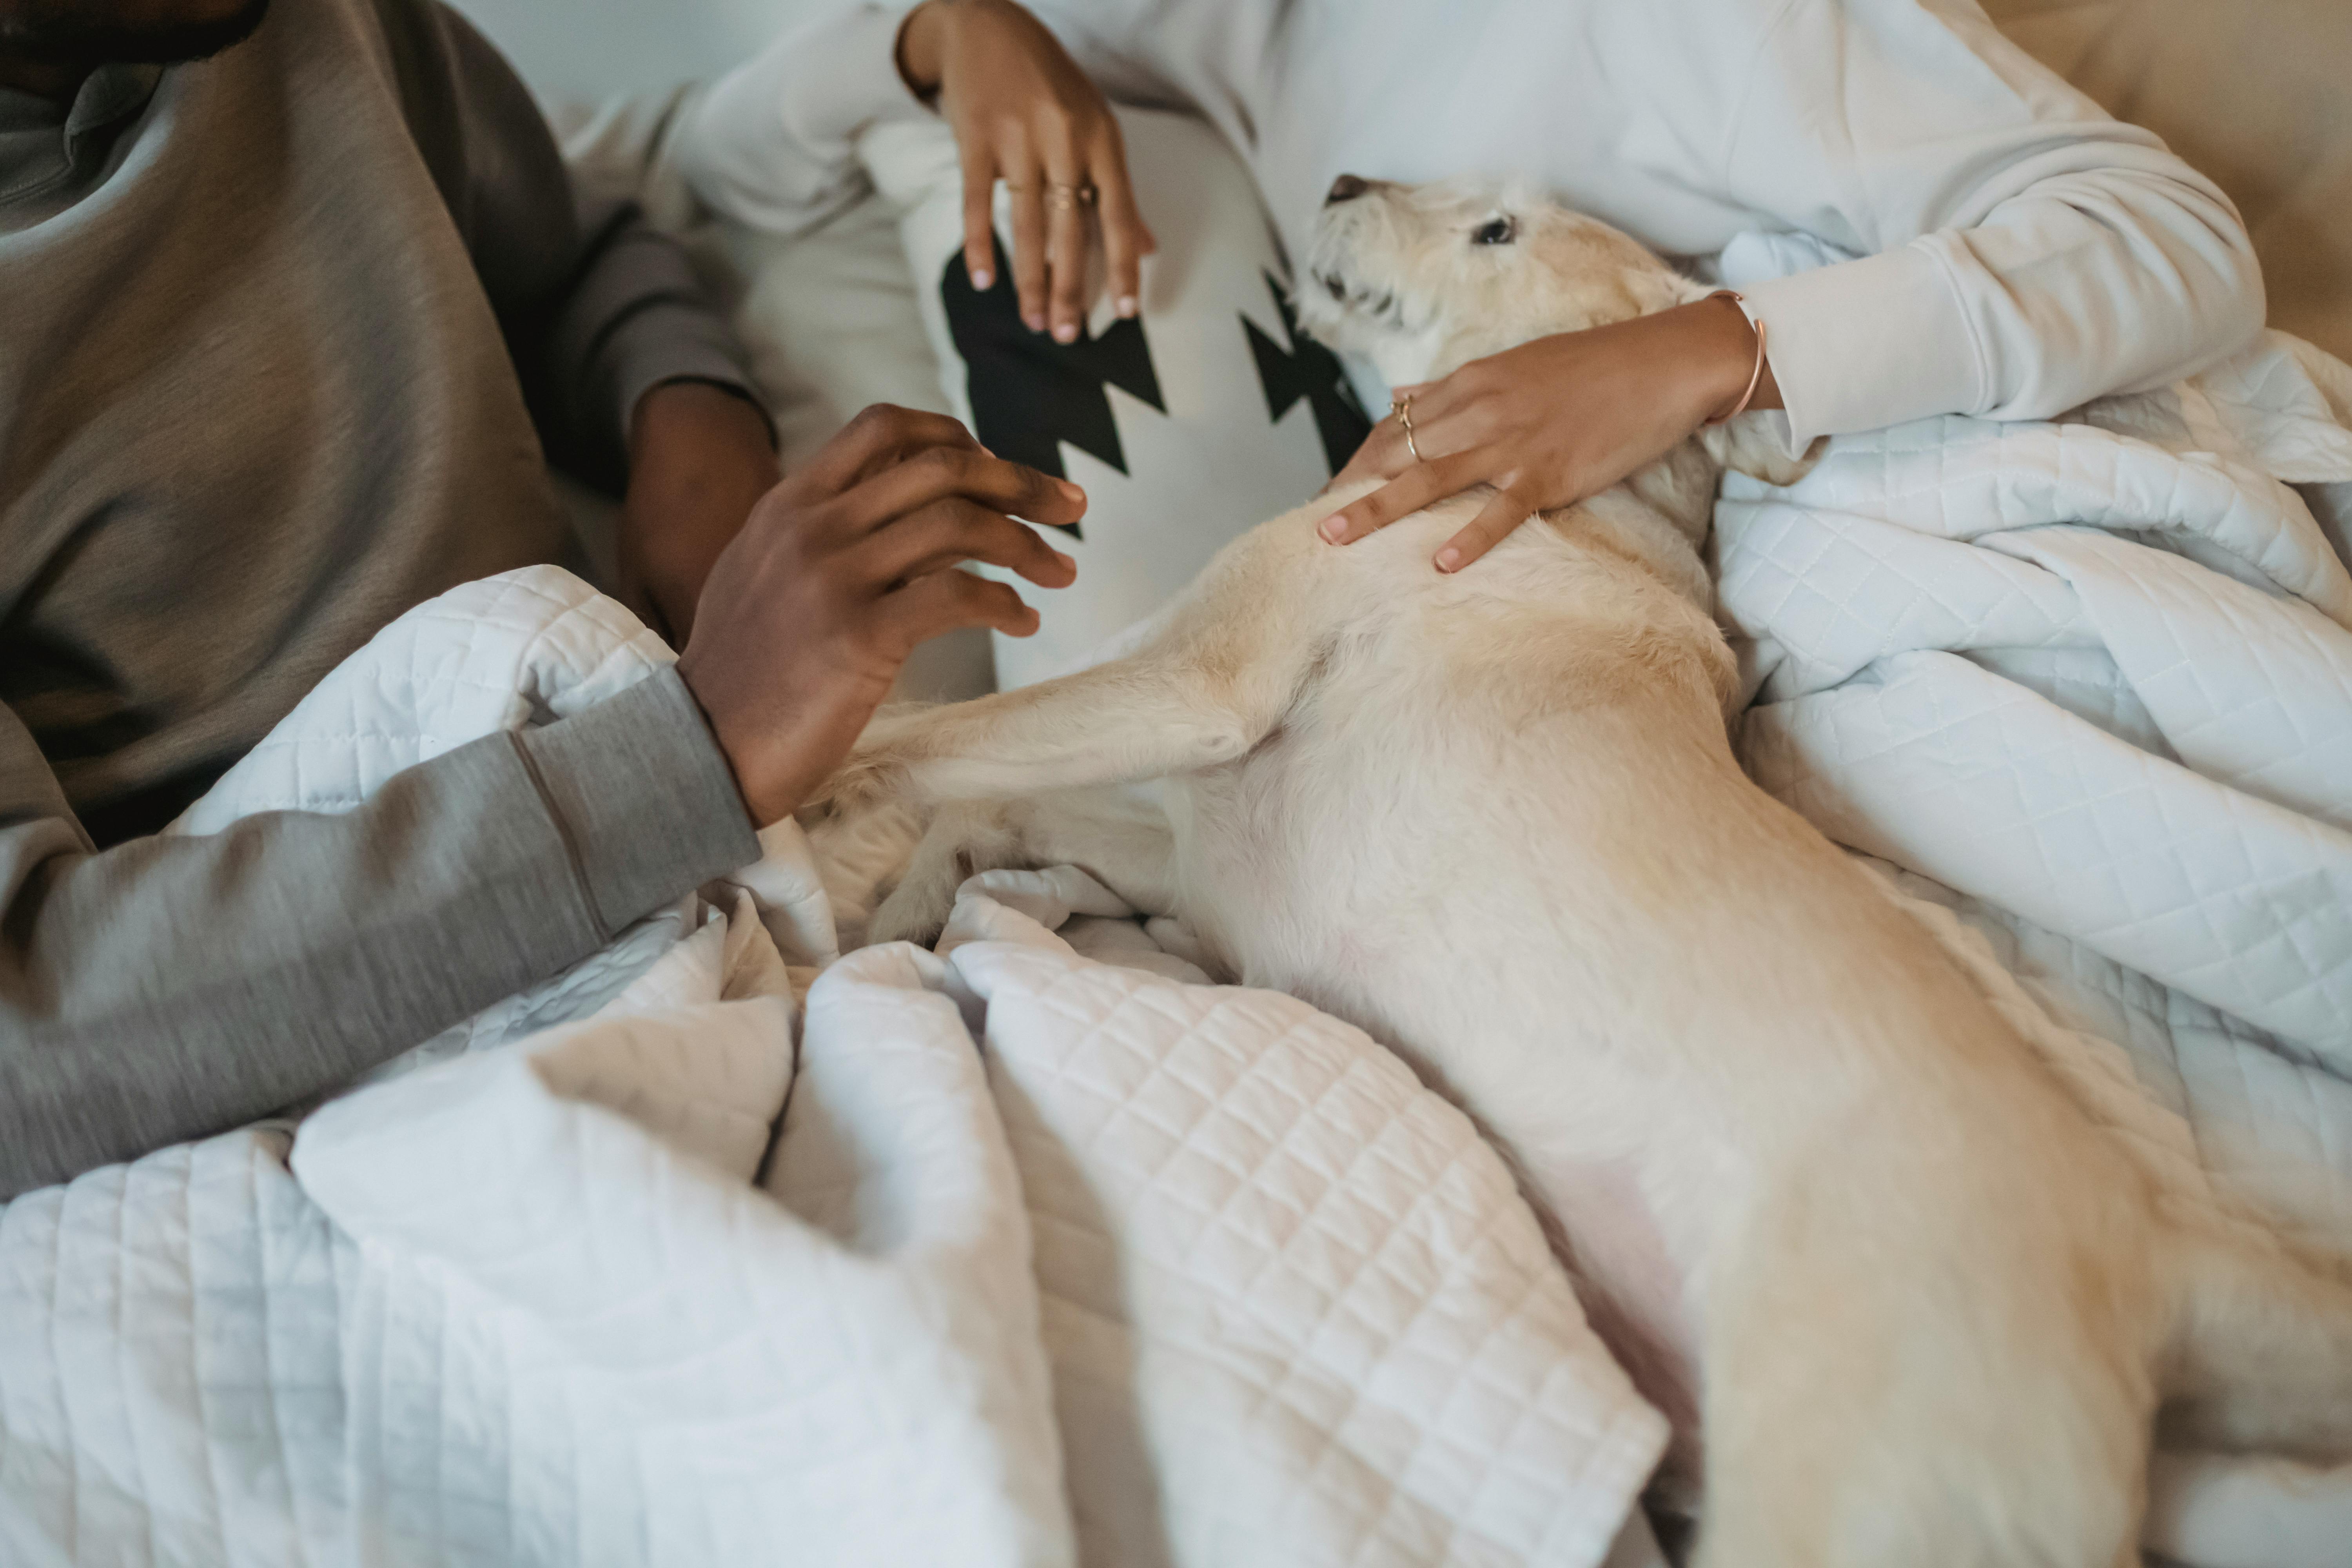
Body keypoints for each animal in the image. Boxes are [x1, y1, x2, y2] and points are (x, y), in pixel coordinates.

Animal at [814, 181, 2352, 1561]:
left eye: (1499, 226)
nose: (1342, 179)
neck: (1575, 500)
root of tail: (2158, 1259)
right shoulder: (1193, 844)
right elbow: (978, 810)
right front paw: (885, 909)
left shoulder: (1199, 688)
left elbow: (928, 737)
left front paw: (808, 794)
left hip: (1849, 1482)